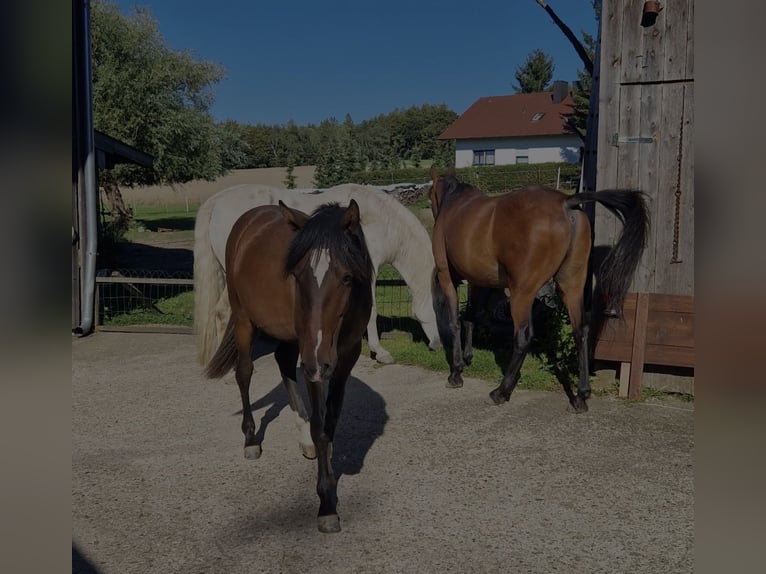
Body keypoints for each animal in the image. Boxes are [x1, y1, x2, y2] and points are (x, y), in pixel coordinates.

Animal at [194, 183, 440, 367]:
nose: (438, 345)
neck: (379, 222)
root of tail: (216, 201)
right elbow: (371, 311)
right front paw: (380, 353)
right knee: (222, 313)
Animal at [204, 200, 373, 533]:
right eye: (297, 275)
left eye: (347, 277)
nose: (318, 361)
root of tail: (251, 216)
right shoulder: (313, 359)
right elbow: (321, 426)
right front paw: (326, 503)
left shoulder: (345, 358)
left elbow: (330, 421)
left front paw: (325, 461)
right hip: (244, 320)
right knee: (244, 373)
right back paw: (251, 439)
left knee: (284, 364)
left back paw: (303, 439)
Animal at [428, 166, 650, 412]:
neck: (455, 205)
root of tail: (566, 203)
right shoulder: (479, 281)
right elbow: (470, 317)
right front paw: (467, 357)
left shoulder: (447, 277)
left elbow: (455, 321)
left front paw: (456, 371)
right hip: (571, 286)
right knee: (580, 331)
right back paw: (581, 395)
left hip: (521, 293)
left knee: (523, 337)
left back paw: (501, 391)